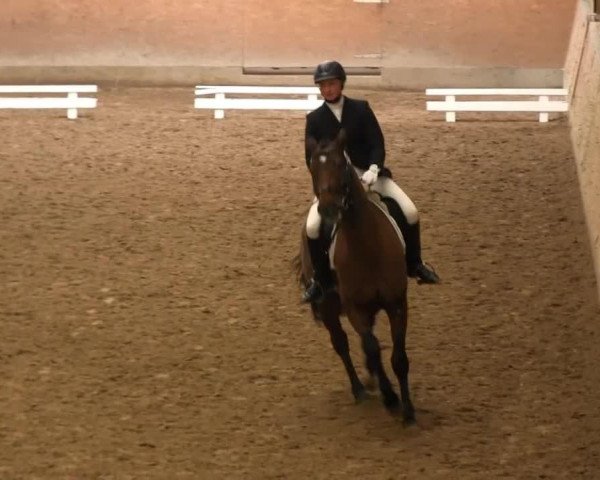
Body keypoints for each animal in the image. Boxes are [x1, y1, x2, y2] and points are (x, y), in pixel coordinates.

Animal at [298, 127, 414, 424]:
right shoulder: (354, 308)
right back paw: (360, 389)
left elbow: (398, 358)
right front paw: (390, 398)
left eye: (341, 164)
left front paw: (409, 410)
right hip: (328, 305)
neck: (367, 246)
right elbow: (372, 349)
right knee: (342, 343)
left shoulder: (397, 303)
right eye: (313, 167)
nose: (327, 210)